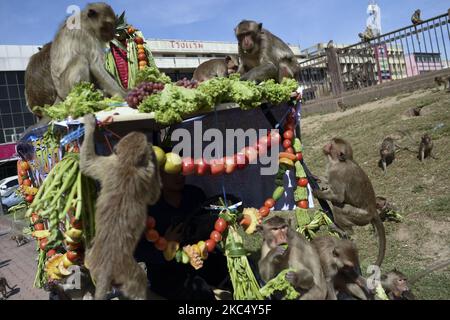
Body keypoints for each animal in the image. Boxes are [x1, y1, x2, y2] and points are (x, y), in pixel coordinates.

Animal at [80, 114, 163, 298]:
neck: (127, 162)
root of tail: (105, 269)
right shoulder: (145, 174)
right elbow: (153, 197)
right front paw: (153, 154)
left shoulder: (109, 165)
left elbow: (87, 163)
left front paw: (89, 124)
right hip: (127, 271)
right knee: (139, 279)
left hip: (91, 261)